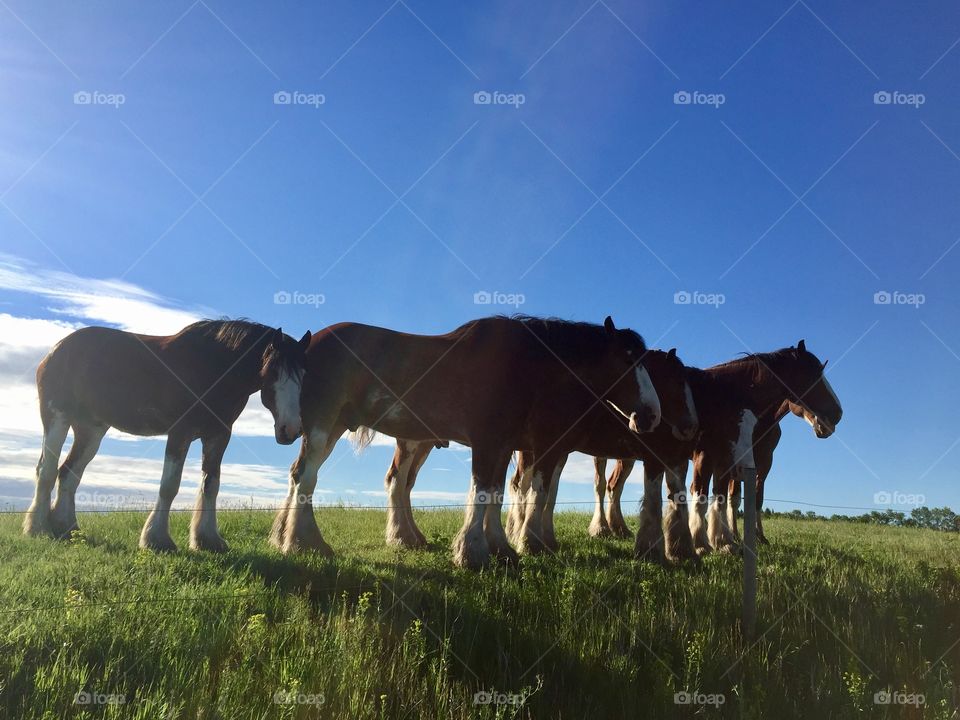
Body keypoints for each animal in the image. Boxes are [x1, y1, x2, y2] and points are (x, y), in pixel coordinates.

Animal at [23, 320, 311, 552]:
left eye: (304, 374)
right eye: (272, 371)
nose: (290, 429)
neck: (213, 368)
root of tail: (56, 350)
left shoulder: (218, 436)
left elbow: (211, 485)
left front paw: (207, 539)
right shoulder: (180, 432)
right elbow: (169, 485)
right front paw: (156, 539)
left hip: (91, 430)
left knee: (69, 473)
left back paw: (67, 528)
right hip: (57, 418)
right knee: (46, 470)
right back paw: (37, 527)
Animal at [270, 315, 661, 569]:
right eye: (627, 360)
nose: (651, 415)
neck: (525, 365)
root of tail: (307, 344)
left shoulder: (504, 445)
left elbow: (498, 494)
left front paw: (500, 547)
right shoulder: (489, 442)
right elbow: (484, 491)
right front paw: (472, 552)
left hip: (339, 427)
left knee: (301, 476)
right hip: (323, 425)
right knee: (306, 476)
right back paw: (303, 542)